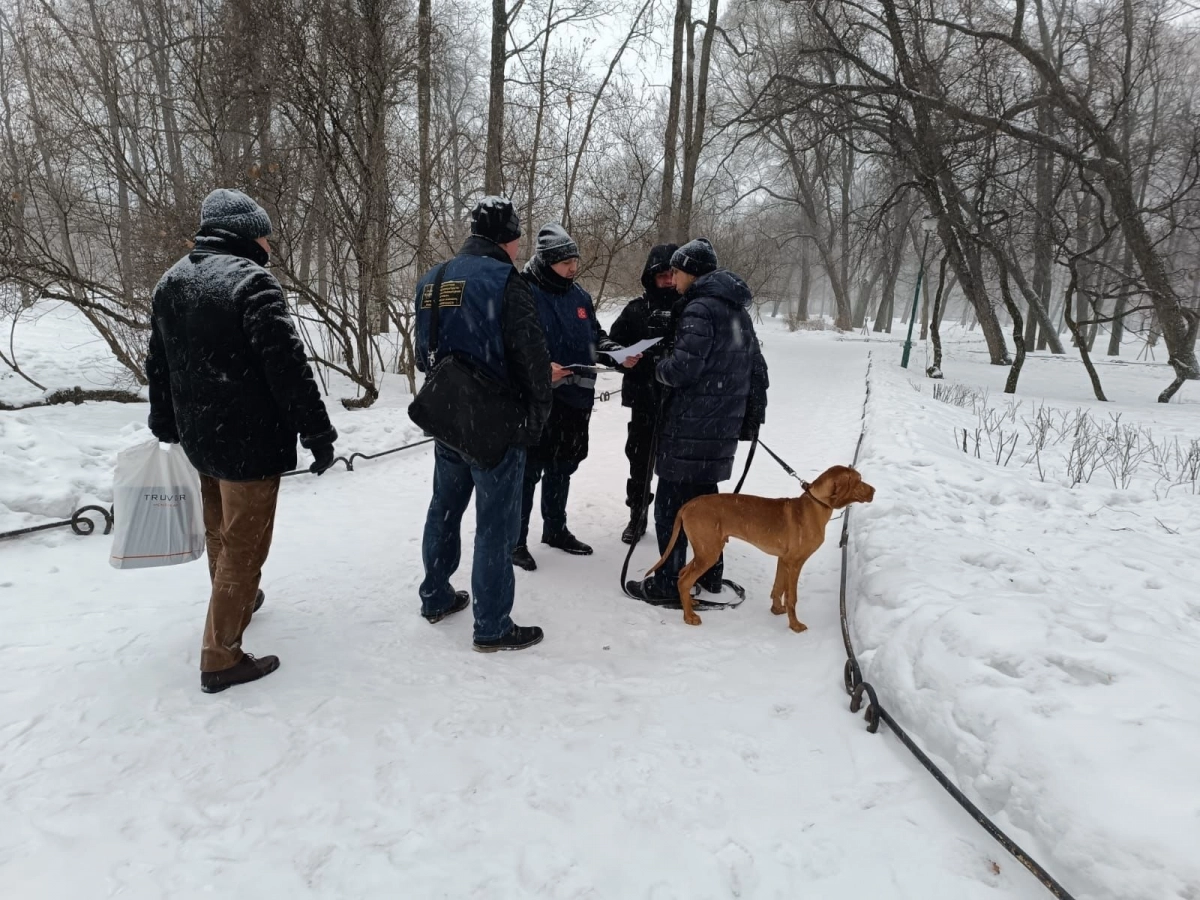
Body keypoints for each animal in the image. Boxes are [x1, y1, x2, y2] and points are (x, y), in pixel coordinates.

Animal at [643, 468, 878, 628]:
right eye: (859, 480)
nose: (874, 490)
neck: (814, 507)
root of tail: (688, 504)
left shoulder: (784, 559)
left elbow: (778, 588)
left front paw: (776, 610)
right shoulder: (796, 563)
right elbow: (792, 597)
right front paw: (795, 625)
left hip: (706, 549)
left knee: (683, 574)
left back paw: (690, 602)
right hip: (709, 552)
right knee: (684, 580)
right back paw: (689, 617)